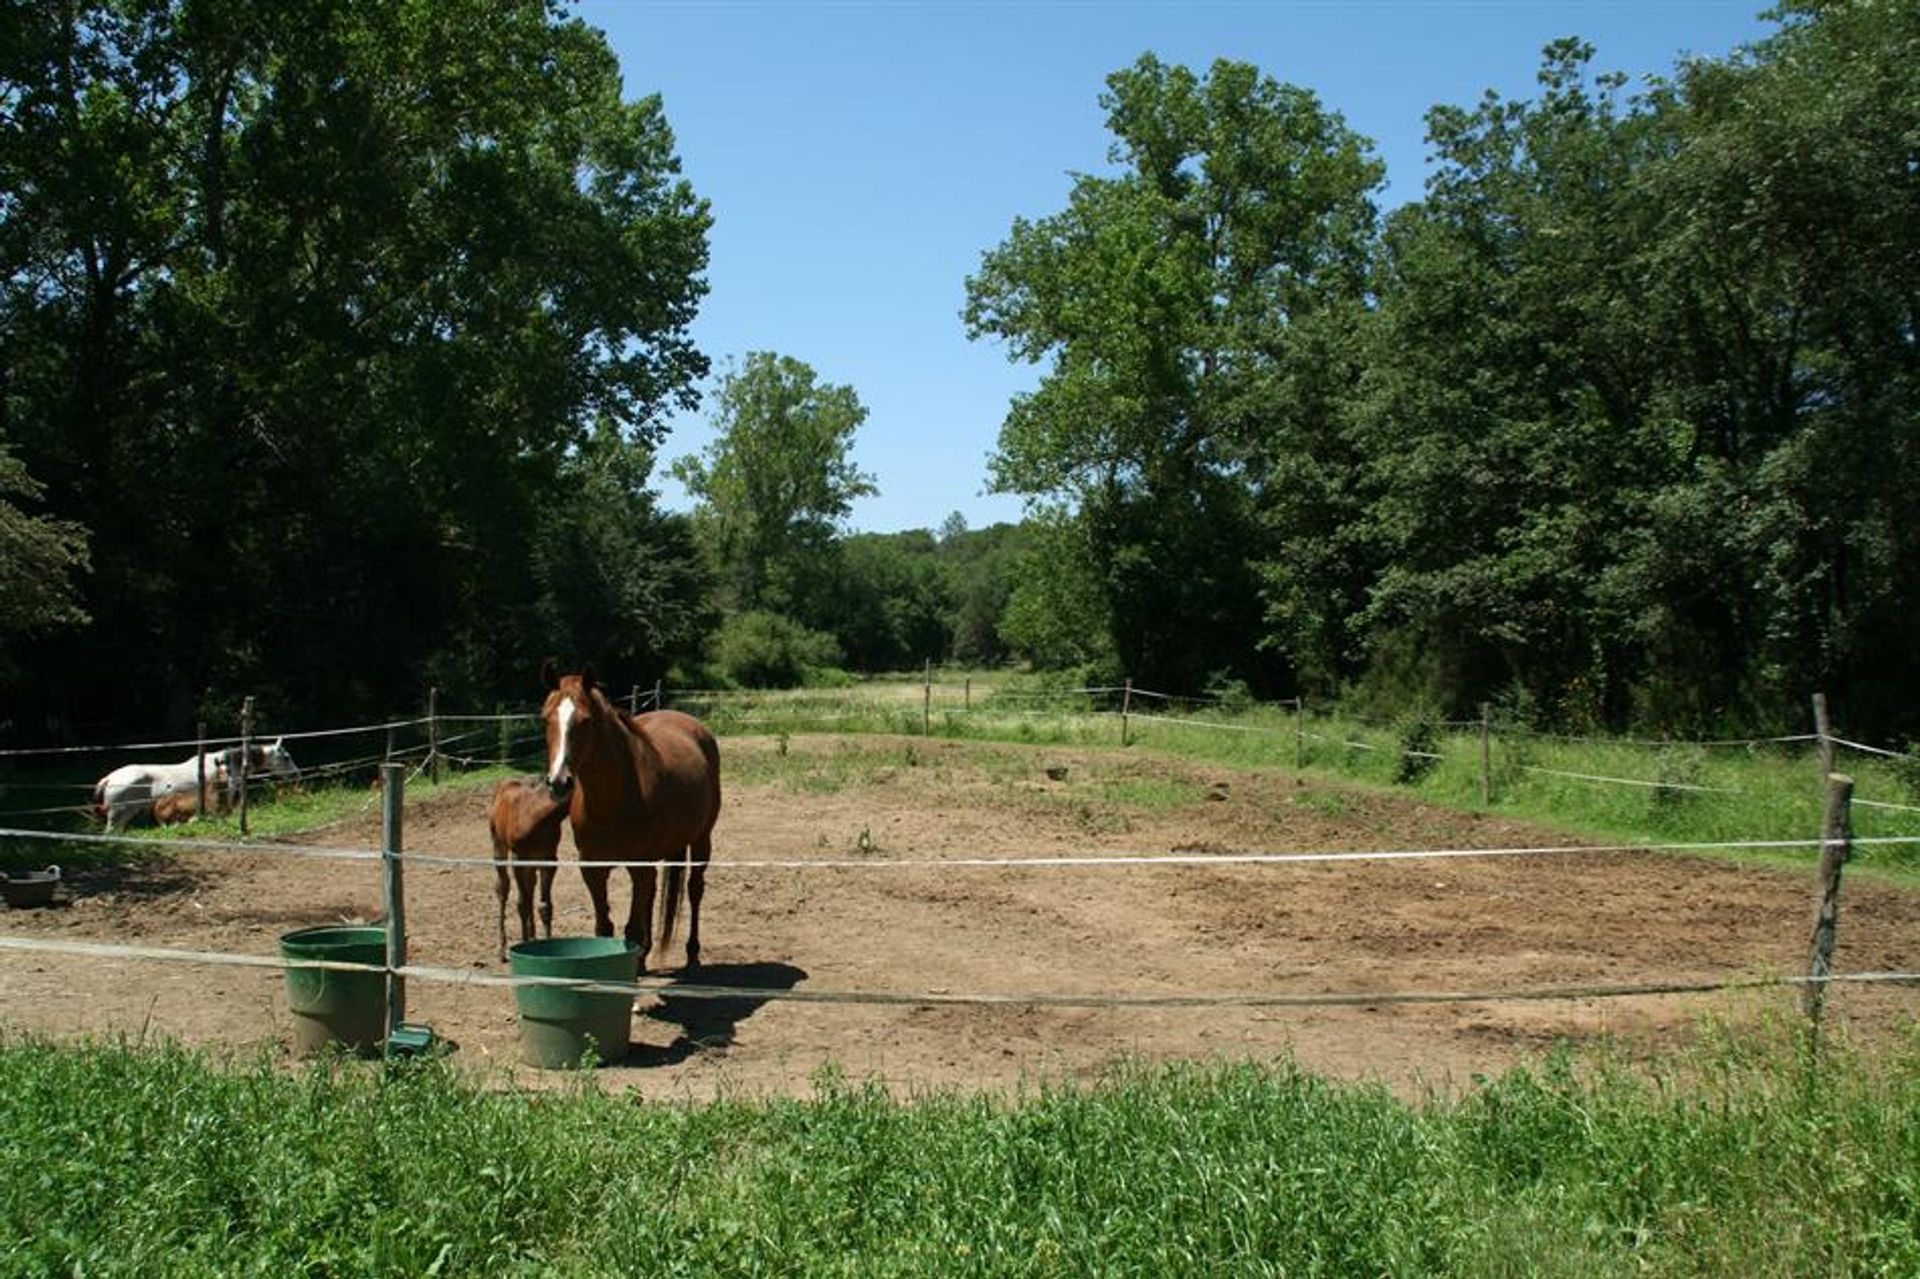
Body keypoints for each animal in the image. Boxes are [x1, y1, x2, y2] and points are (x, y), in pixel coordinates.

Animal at [483, 772, 564, 960]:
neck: (538, 815)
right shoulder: (518, 858)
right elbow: (521, 904)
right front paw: (523, 945)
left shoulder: (549, 860)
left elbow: (545, 906)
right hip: (499, 846)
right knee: (503, 889)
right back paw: (502, 948)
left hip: (532, 860)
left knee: (530, 887)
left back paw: (533, 936)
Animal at [541, 656, 721, 967]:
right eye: (545, 719)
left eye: (585, 721)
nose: (559, 782)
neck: (611, 801)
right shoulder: (592, 868)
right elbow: (605, 927)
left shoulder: (639, 865)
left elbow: (631, 929)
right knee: (652, 895)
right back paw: (646, 954)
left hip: (701, 840)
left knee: (694, 889)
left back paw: (692, 954)